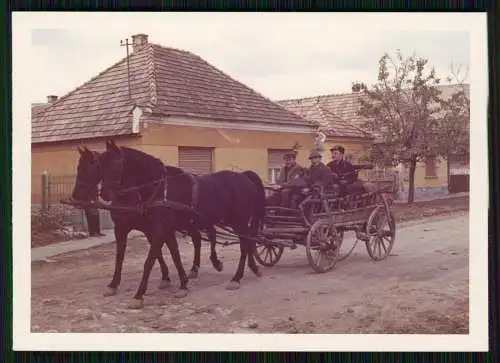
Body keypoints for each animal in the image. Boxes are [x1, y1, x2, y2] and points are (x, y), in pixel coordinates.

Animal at [70, 147, 223, 298]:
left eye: (92, 165)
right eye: (78, 167)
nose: (76, 197)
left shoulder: (158, 229)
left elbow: (158, 255)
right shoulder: (125, 228)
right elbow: (126, 256)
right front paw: (114, 284)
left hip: (200, 220)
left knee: (211, 233)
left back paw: (215, 263)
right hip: (189, 223)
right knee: (198, 238)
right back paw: (194, 268)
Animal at [92, 141, 268, 308]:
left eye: (116, 165)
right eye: (100, 166)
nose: (105, 194)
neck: (160, 189)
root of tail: (243, 176)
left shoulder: (159, 229)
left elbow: (150, 260)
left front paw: (138, 295)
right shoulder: (159, 230)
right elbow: (173, 255)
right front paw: (183, 283)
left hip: (239, 221)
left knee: (244, 243)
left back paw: (237, 277)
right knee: (240, 240)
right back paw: (250, 268)